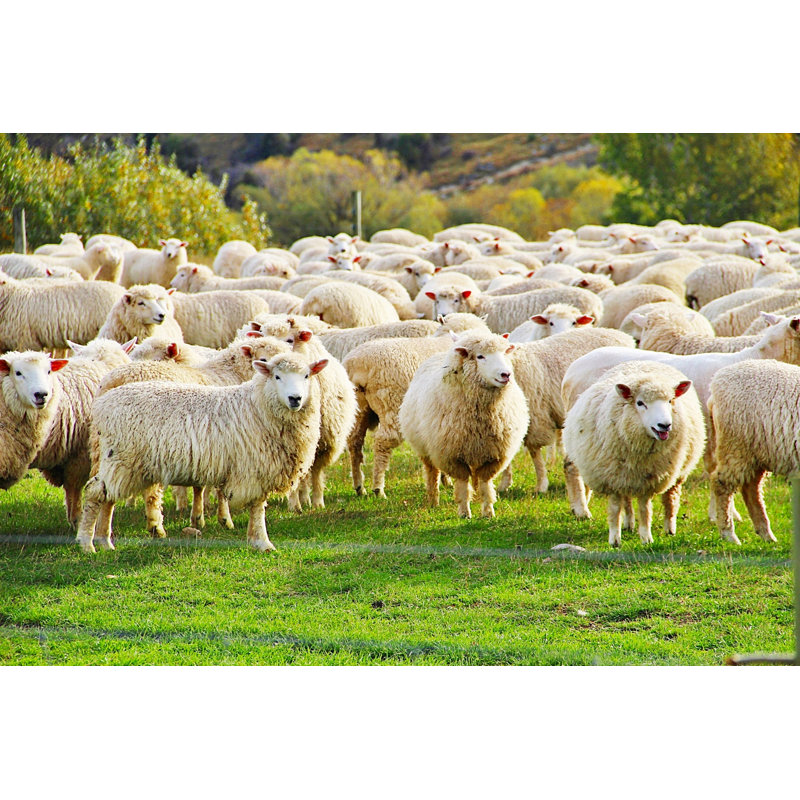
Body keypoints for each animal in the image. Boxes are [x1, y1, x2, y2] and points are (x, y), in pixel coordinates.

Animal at [76, 351, 328, 553]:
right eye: (277, 376)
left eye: (307, 376)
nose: (295, 398)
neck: (259, 406)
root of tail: (103, 403)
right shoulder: (254, 467)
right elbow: (258, 508)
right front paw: (262, 542)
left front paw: (255, 539)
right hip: (120, 457)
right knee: (96, 493)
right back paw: (87, 544)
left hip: (121, 461)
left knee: (108, 498)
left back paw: (104, 542)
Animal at [343, 314, 492, 497]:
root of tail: (356, 364)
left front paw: (445, 480)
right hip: (391, 405)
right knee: (382, 443)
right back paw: (378, 488)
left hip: (359, 408)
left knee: (354, 441)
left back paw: (359, 486)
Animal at [399, 330, 529, 519]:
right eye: (480, 356)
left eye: (504, 353)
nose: (506, 374)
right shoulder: (452, 456)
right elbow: (462, 484)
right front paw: (464, 513)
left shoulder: (494, 455)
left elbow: (485, 483)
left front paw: (488, 511)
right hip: (425, 449)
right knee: (432, 473)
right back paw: (433, 501)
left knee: (474, 477)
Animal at [562, 361, 705, 546]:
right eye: (640, 403)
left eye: (670, 400)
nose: (665, 425)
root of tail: (644, 362)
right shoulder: (613, 477)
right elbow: (615, 508)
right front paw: (615, 539)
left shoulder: (650, 479)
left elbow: (645, 509)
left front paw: (646, 538)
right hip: (625, 474)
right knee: (627, 498)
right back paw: (628, 524)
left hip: (677, 471)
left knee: (670, 497)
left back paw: (669, 528)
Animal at [708, 359, 800, 544]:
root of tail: (715, 383)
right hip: (736, 446)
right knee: (722, 484)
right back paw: (729, 534)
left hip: (757, 453)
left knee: (751, 489)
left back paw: (766, 534)